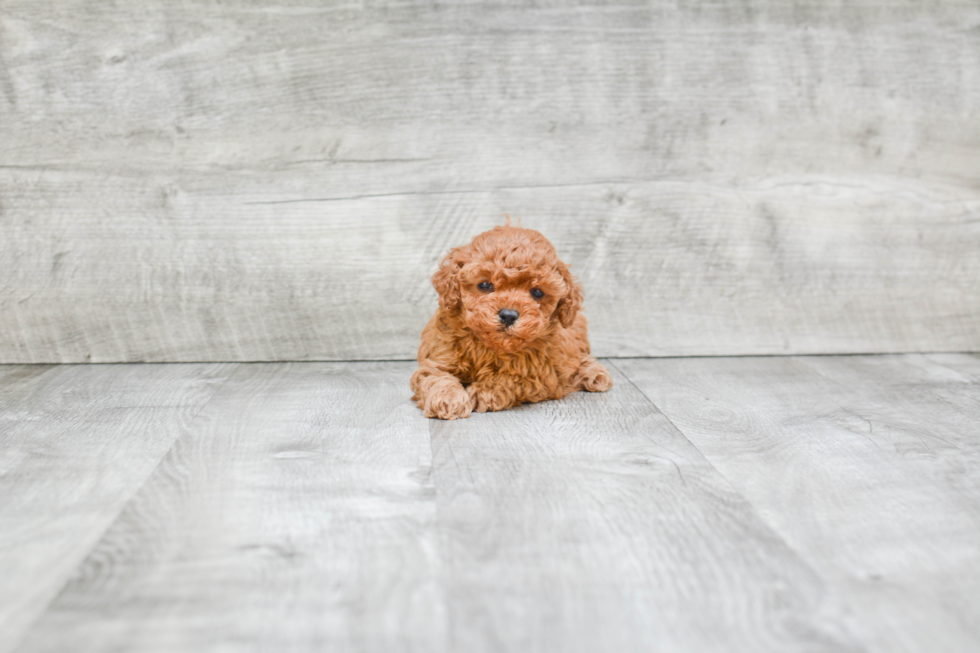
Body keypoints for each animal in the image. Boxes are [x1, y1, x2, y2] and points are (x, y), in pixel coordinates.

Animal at [412, 222, 612, 420]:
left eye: (537, 292)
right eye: (485, 284)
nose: (508, 315)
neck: (490, 346)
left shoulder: (542, 374)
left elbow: (512, 378)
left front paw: (484, 390)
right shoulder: (439, 357)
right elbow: (435, 377)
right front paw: (448, 398)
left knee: (582, 358)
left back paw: (594, 374)